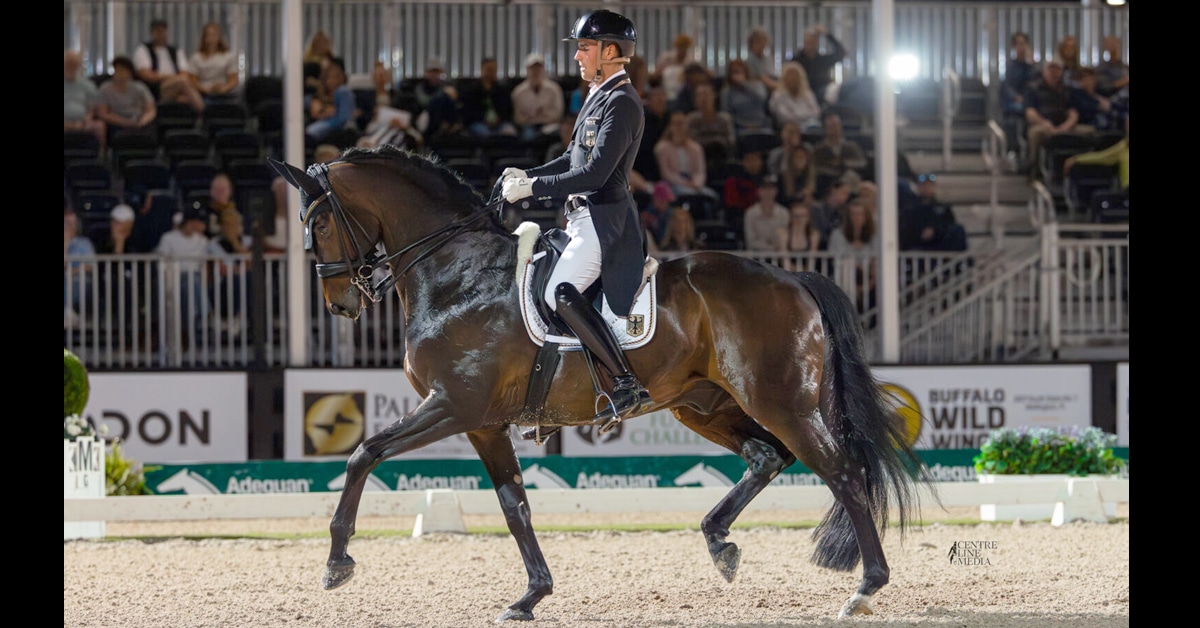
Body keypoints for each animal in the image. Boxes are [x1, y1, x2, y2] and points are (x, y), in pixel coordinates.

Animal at [269, 145, 935, 622]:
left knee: (842, 472)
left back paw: (865, 589)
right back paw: (719, 542)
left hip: (782, 402)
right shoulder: (484, 422)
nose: (340, 304)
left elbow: (363, 453)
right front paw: (531, 596)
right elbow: (514, 504)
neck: (456, 273)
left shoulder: (454, 406)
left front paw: (337, 562)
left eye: (318, 222)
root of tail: (794, 278)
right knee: (767, 457)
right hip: (704, 404)